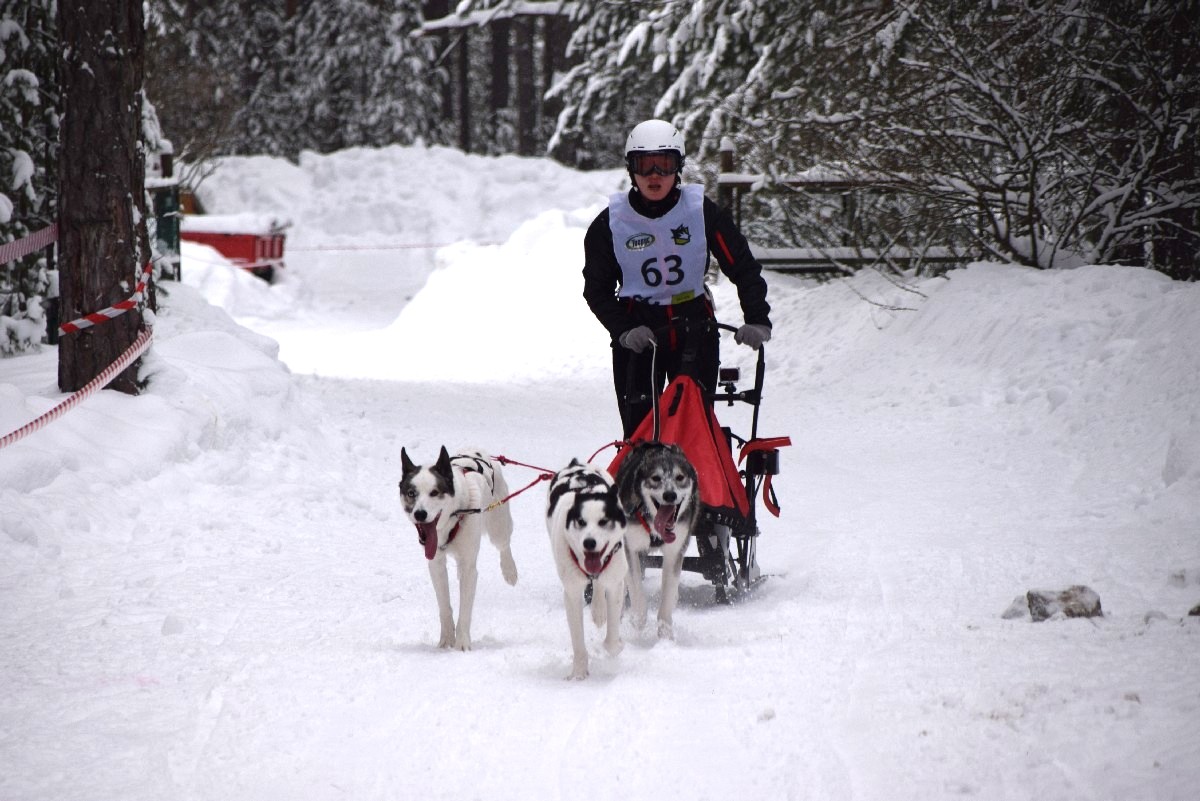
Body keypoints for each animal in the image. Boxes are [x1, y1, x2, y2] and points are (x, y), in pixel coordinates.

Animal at [400, 443, 518, 652]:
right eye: (411, 493)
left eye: (434, 492)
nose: (420, 514)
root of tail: (476, 450)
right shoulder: (436, 564)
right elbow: (444, 606)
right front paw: (447, 640)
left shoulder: (470, 568)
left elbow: (465, 609)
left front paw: (462, 643)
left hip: (498, 524)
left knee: (504, 544)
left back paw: (509, 570)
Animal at [549, 460, 633, 681]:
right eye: (581, 521)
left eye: (604, 521)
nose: (589, 543)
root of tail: (576, 465)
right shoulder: (572, 593)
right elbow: (578, 641)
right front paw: (578, 673)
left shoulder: (615, 583)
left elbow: (611, 641)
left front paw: (617, 644)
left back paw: (599, 610)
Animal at [614, 441, 700, 642]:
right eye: (655, 478)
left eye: (679, 477)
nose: (670, 495)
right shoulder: (630, 548)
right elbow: (635, 587)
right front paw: (638, 619)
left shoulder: (675, 552)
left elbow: (668, 593)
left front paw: (665, 635)